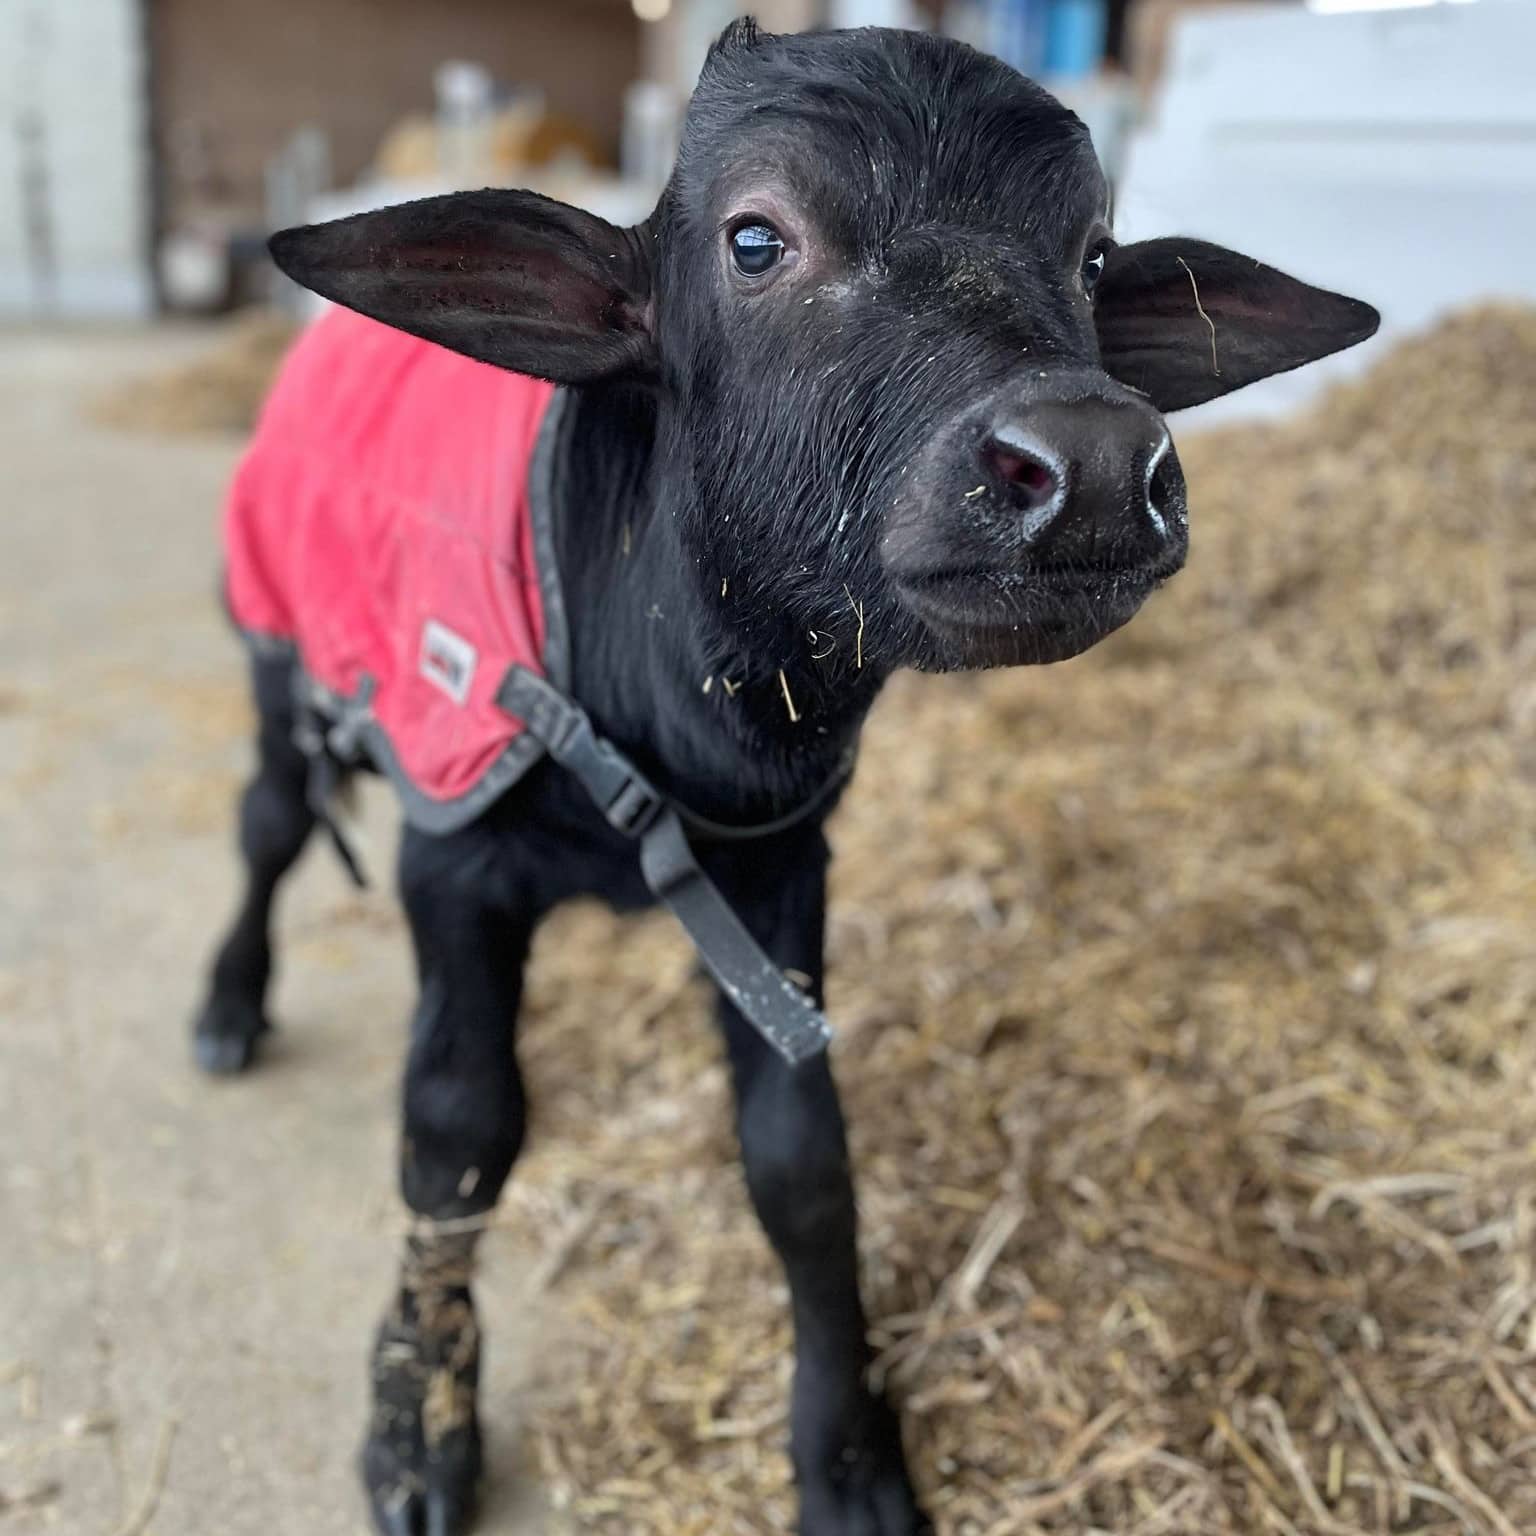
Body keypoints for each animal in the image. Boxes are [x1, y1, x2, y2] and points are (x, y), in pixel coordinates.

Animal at [193, 20, 1378, 1536]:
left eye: (1095, 258)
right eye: (757, 239)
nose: (1097, 462)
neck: (654, 695)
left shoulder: (778, 871)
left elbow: (802, 1163)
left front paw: (850, 1458)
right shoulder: (449, 859)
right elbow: (454, 1136)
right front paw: (418, 1424)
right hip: (279, 655)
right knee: (269, 826)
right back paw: (229, 1006)